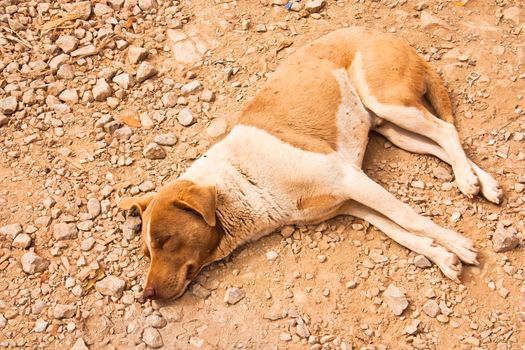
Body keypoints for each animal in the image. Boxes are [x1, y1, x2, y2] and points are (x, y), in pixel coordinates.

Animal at [117, 28, 500, 300]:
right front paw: (441, 256)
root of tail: (380, 32)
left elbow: (410, 218)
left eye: (166, 240)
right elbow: (401, 232)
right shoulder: (349, 204)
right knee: (437, 144)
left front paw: (458, 245)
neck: (240, 184)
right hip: (391, 127)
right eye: (146, 251)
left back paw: (467, 181)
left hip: (389, 102)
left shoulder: (350, 179)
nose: (147, 295)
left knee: (446, 129)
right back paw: (482, 181)